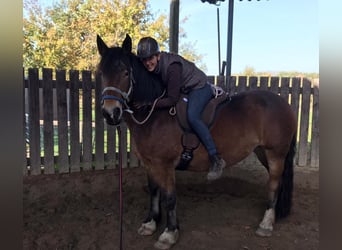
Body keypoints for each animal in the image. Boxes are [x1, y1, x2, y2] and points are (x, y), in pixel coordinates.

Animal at [95, 33, 296, 250]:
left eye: (125, 73)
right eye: (101, 73)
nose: (110, 113)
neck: (154, 115)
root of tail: (284, 103)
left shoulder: (165, 165)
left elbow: (169, 198)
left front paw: (169, 233)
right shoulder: (150, 164)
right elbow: (154, 192)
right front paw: (150, 223)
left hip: (275, 153)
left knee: (274, 183)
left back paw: (266, 224)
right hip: (263, 152)